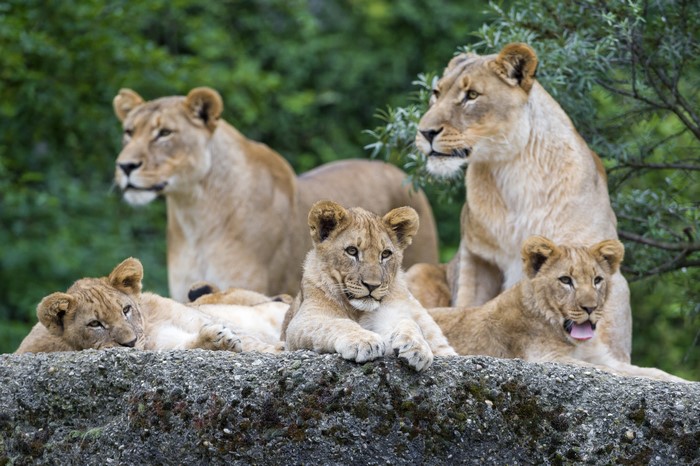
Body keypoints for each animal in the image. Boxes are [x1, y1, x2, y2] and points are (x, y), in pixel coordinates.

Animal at [15, 258, 286, 354]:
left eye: (126, 310)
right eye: (95, 324)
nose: (130, 343)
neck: (151, 324)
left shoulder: (194, 318)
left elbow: (253, 342)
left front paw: (278, 349)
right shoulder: (163, 344)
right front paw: (218, 340)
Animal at [282, 200, 456, 372]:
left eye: (385, 254)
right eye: (352, 251)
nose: (372, 286)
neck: (357, 310)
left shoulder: (390, 315)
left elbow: (408, 323)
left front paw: (416, 347)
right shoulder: (302, 322)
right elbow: (337, 323)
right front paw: (364, 341)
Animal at [407, 42, 632, 363]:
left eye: (471, 95)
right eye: (436, 93)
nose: (424, 132)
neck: (511, 171)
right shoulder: (479, 259)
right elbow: (469, 306)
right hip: (419, 269)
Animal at [429, 236, 686, 383]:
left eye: (597, 280)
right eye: (565, 280)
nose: (590, 307)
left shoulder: (600, 356)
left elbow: (651, 371)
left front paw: (681, 382)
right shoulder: (545, 358)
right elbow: (602, 370)